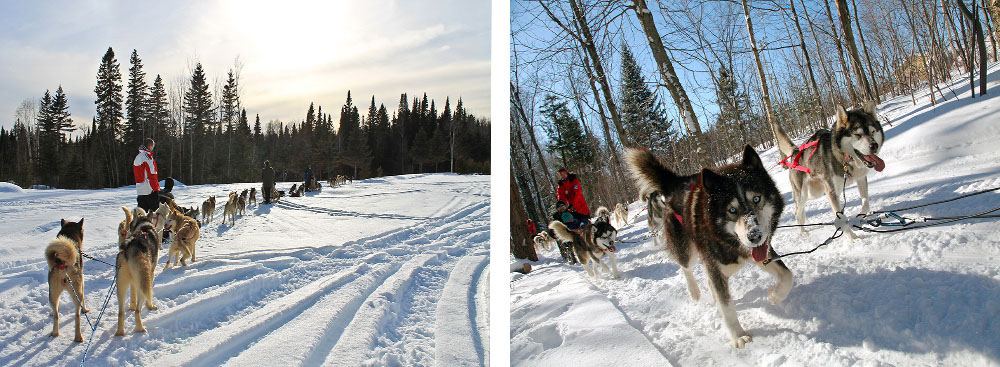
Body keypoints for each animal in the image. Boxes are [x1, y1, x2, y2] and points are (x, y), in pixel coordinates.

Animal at [628, 145, 792, 350]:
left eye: (756, 199)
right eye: (732, 210)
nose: (754, 236)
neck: (728, 240)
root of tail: (677, 183)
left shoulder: (761, 253)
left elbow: (788, 275)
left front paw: (775, 295)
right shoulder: (717, 267)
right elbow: (727, 308)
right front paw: (738, 336)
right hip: (687, 250)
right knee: (685, 266)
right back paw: (694, 291)